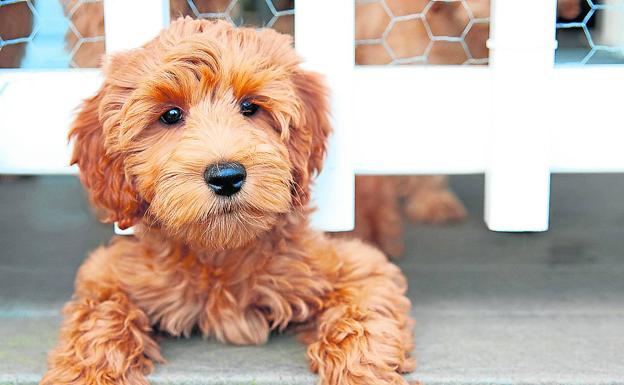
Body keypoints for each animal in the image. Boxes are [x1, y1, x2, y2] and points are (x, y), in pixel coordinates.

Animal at [41, 18, 416, 384]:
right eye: (170, 115)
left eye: (250, 107)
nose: (226, 176)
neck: (221, 252)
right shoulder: (109, 273)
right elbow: (99, 316)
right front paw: (88, 373)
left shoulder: (356, 266)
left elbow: (362, 315)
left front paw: (362, 372)